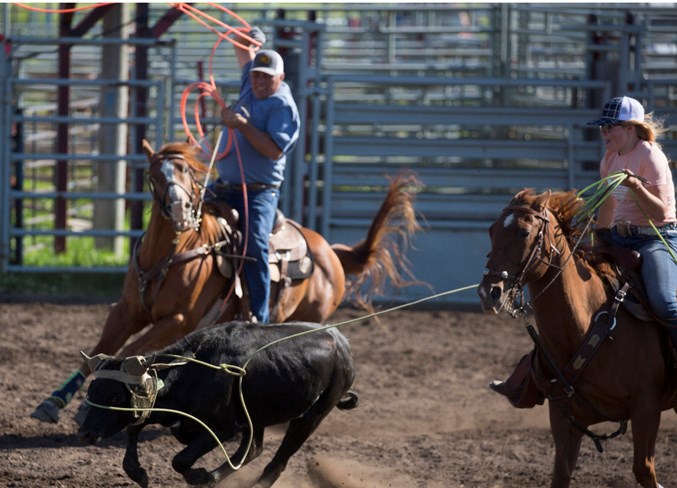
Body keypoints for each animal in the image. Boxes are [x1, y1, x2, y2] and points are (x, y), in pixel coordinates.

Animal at [34, 139, 420, 426]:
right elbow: (101, 350)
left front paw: (95, 402)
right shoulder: (126, 311)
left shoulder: (177, 320)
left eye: (187, 172)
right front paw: (53, 402)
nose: (180, 209)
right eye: (154, 174)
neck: (171, 253)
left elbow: (129, 352)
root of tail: (330, 251)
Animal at [478, 188, 672, 488]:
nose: (489, 293)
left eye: (524, 232)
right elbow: (561, 473)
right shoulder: (563, 417)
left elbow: (644, 469)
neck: (589, 324)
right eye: (492, 230)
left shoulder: (647, 407)